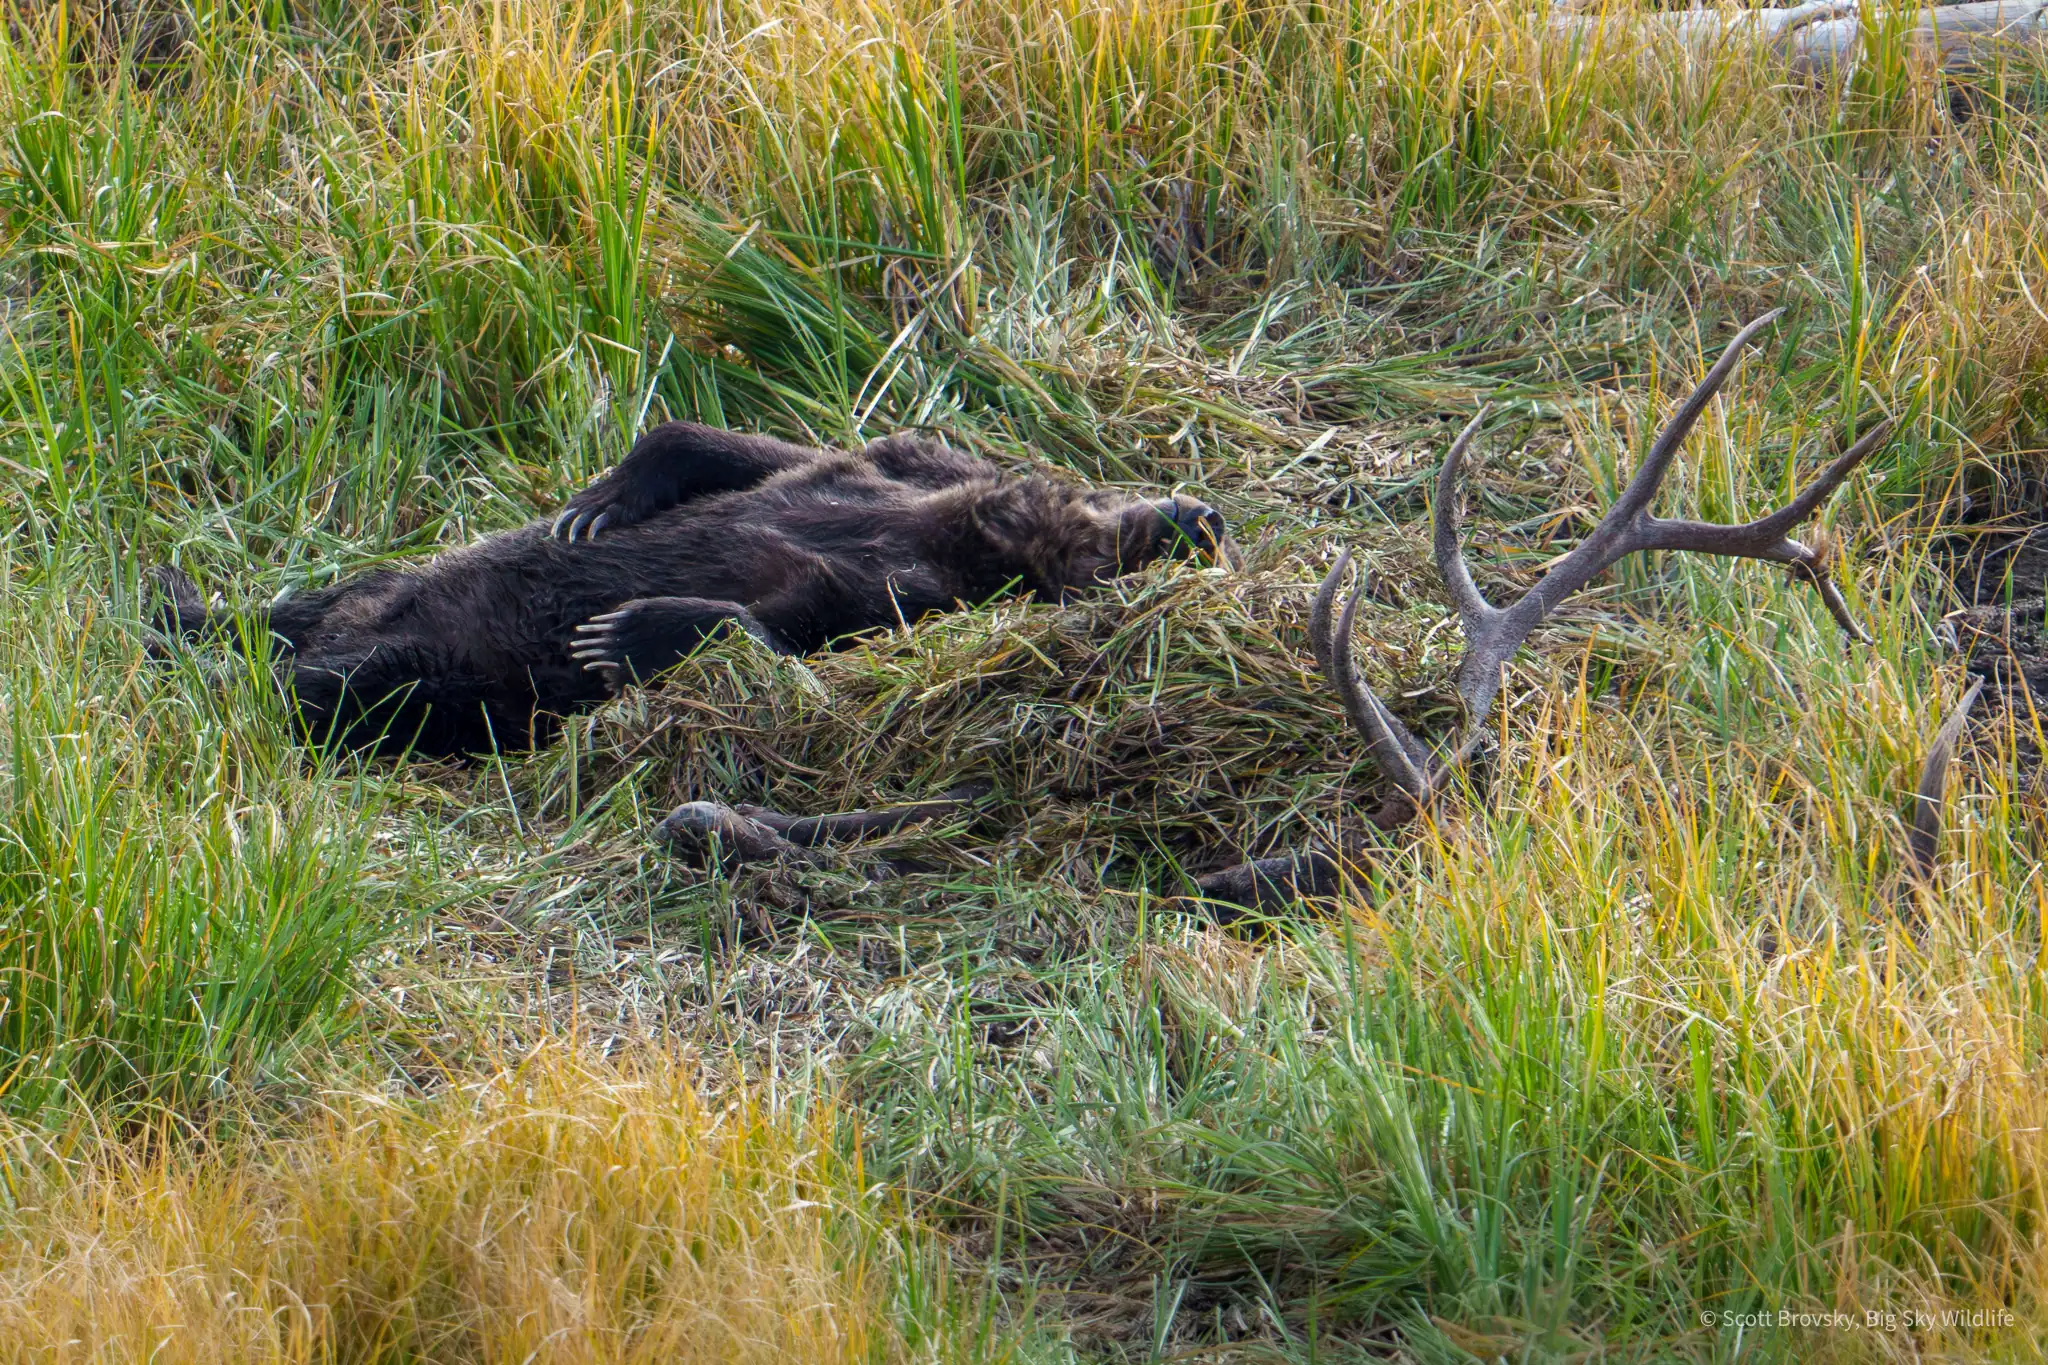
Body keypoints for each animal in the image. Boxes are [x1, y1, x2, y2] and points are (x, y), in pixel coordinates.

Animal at [152, 421, 1228, 755]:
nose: (1199, 511)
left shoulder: (909, 591)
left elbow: (793, 631)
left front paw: (625, 629)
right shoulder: (897, 473)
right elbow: (771, 455)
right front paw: (602, 501)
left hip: (457, 676)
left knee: (349, 684)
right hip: (384, 586)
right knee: (312, 602)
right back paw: (176, 605)